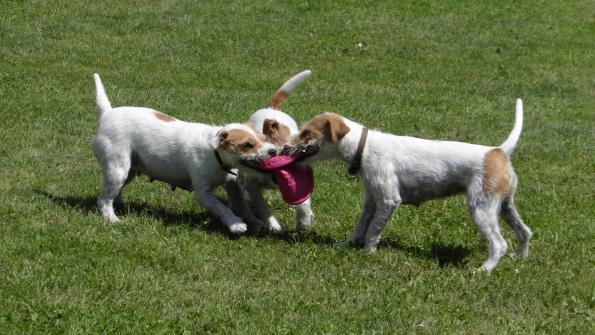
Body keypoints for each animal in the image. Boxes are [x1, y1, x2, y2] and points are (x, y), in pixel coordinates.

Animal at [91, 73, 278, 236]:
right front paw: (235, 224)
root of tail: (107, 113)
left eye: (263, 138)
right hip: (118, 169)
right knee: (103, 200)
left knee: (115, 193)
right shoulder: (203, 193)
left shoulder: (232, 186)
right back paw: (112, 219)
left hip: (129, 170)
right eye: (247, 145)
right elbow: (222, 208)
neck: (215, 155)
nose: (273, 151)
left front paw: (256, 222)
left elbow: (243, 206)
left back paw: (121, 207)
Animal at [240, 70, 316, 234]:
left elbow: (303, 201)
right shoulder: (252, 185)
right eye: (284, 150)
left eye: (302, 154)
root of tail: (272, 109)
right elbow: (262, 205)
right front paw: (274, 225)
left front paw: (304, 222)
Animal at [286, 98, 532, 272]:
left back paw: (484, 270)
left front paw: (368, 252)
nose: (285, 147)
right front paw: (347, 244)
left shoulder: (388, 199)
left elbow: (373, 229)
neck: (363, 147)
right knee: (525, 232)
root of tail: (498, 152)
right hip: (505, 205)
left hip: (481, 208)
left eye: (306, 132)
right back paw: (519, 258)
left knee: (499, 244)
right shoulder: (371, 200)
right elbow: (361, 226)